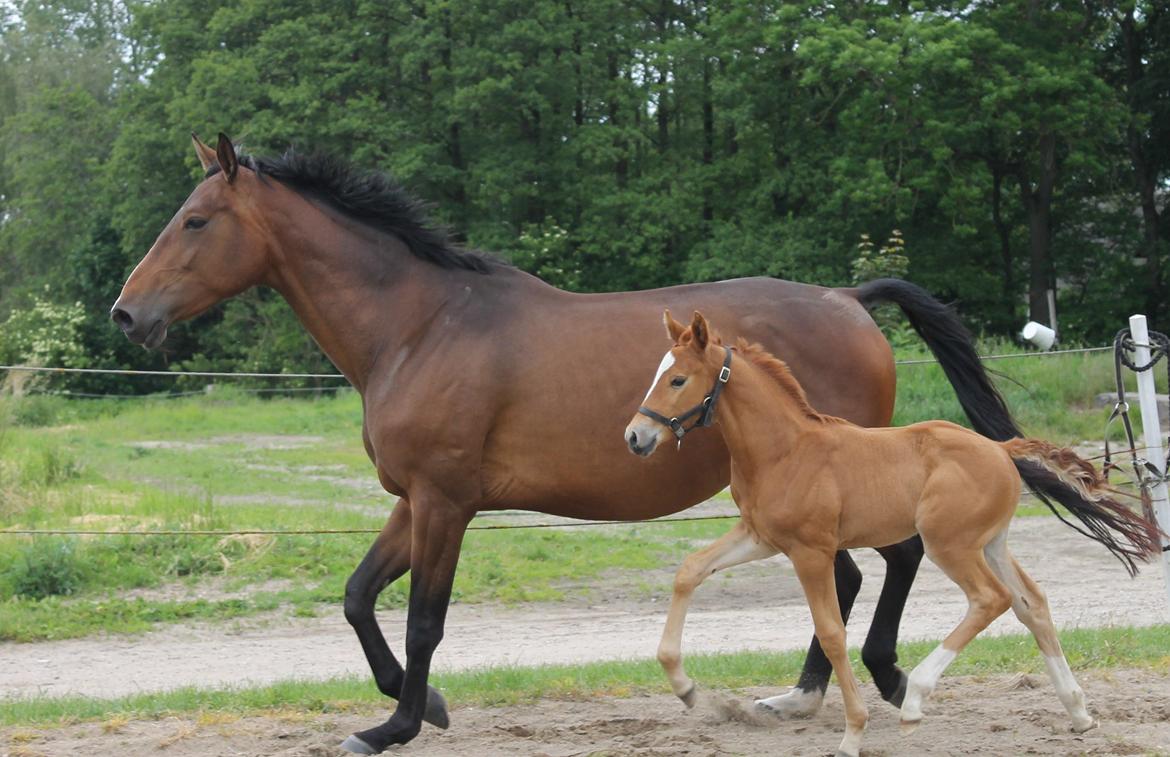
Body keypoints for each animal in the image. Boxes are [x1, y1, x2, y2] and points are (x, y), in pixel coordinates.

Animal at [114, 133, 1020, 753]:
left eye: (195, 220)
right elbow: (358, 596)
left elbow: (423, 620)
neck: (420, 326)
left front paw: (394, 724)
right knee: (852, 574)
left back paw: (885, 675)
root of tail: (848, 297)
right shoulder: (415, 499)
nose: (127, 314)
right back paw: (800, 696)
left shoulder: (446, 503)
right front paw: (423, 703)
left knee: (892, 562)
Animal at [622, 311, 1160, 753]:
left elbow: (831, 631)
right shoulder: (760, 537)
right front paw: (685, 687)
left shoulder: (810, 550)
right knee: (1032, 603)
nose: (635, 437)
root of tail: (1001, 449)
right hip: (991, 543)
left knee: (991, 599)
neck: (784, 450)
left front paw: (853, 733)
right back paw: (1079, 712)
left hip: (950, 544)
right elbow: (690, 570)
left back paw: (916, 698)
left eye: (677, 379)